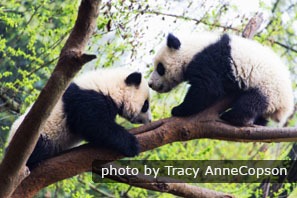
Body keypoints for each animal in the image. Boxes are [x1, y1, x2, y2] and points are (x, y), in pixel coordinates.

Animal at [149, 31, 292, 126]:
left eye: (160, 68)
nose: (150, 84)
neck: (192, 49)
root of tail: (285, 108)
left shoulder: (210, 61)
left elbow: (207, 89)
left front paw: (178, 109)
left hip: (268, 88)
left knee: (252, 102)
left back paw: (233, 117)